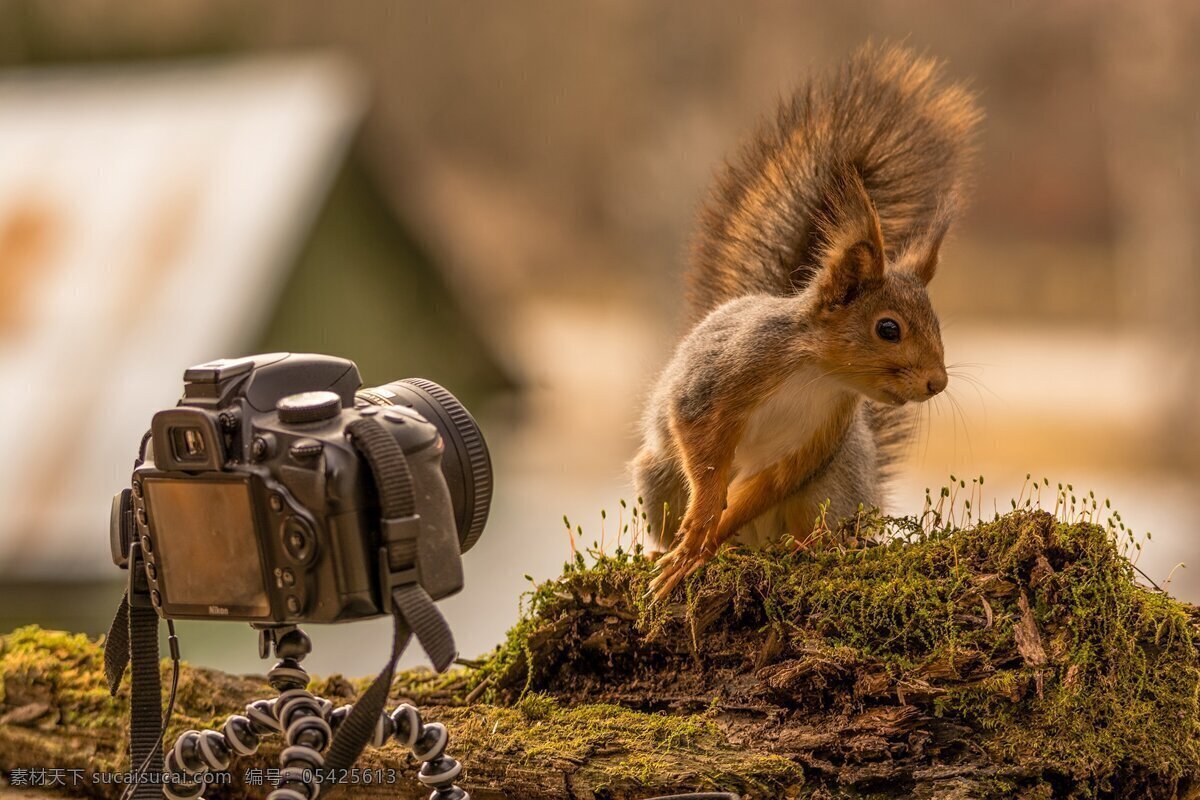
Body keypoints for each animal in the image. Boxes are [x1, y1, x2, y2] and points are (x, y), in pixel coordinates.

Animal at [633, 40, 979, 597]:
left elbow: (767, 483)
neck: (817, 373)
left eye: (938, 323)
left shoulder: (815, 441)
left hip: (832, 491)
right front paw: (695, 540)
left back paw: (804, 546)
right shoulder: (725, 377)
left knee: (805, 526)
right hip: (658, 480)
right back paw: (674, 550)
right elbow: (702, 449)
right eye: (888, 328)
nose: (937, 383)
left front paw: (704, 544)